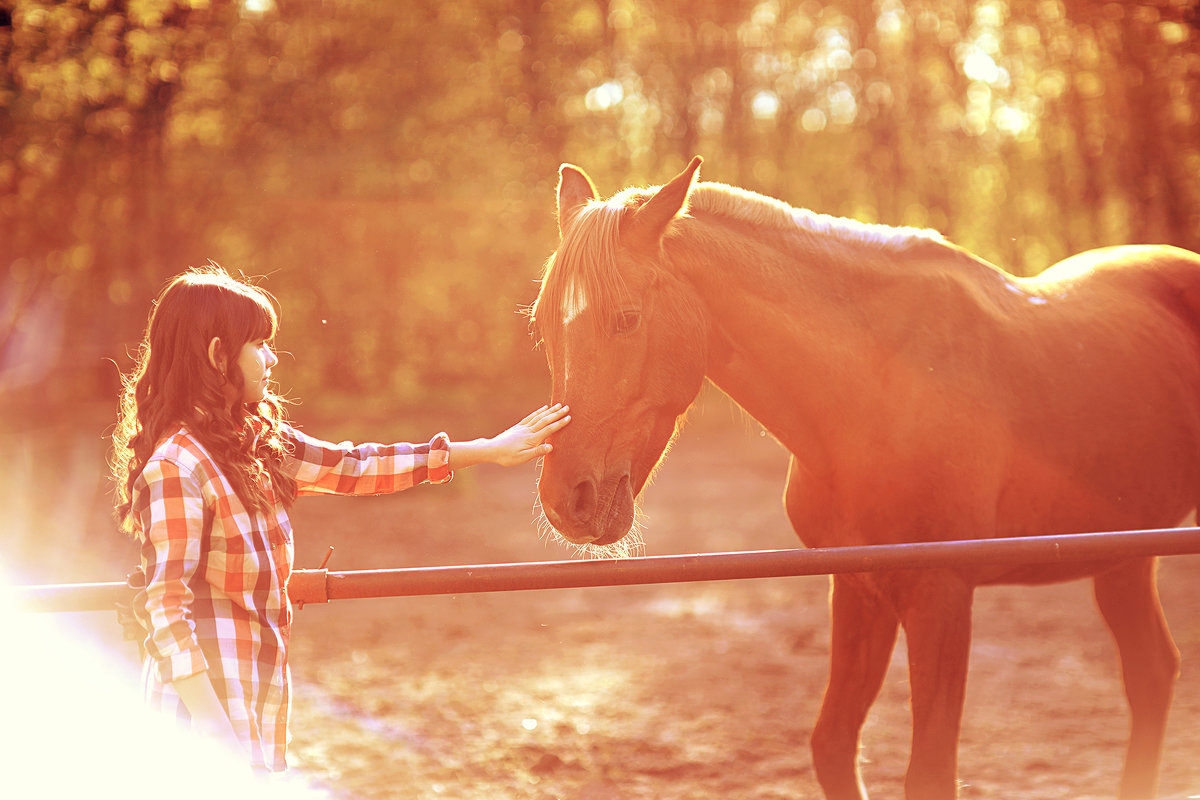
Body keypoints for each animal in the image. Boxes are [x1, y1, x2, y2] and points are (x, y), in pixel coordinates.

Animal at [530, 158, 1200, 800]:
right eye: (543, 325)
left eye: (626, 318)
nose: (567, 500)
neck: (878, 387)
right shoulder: (858, 587)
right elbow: (832, 745)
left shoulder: (940, 594)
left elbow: (928, 772)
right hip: (1123, 558)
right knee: (1151, 674)